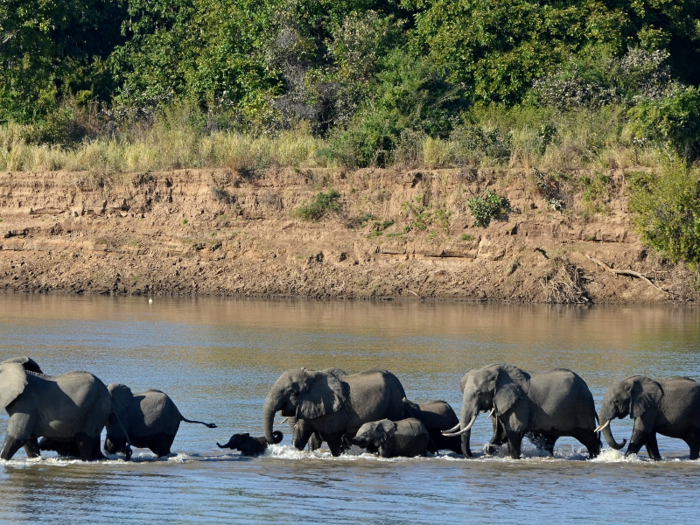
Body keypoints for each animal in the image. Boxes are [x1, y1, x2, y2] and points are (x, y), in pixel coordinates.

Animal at [262, 368, 408, 454]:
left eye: (292, 392)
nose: (276, 434)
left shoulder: (335, 413)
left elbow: (333, 439)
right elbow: (302, 437)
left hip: (393, 403)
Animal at [446, 362, 600, 456]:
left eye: (479, 393)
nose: (471, 455)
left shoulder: (519, 404)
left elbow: (513, 432)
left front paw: (513, 457)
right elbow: (501, 434)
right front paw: (490, 449)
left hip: (583, 408)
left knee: (590, 439)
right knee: (548, 441)